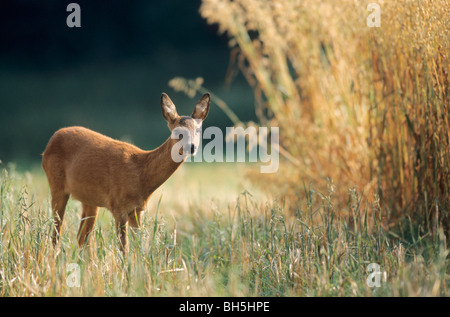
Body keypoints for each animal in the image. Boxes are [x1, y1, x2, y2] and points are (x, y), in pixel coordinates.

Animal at [42, 92, 211, 252]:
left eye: (197, 130)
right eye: (177, 131)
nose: (191, 147)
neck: (141, 174)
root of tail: (50, 141)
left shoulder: (137, 210)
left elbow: (139, 247)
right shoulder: (118, 206)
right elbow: (124, 249)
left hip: (89, 200)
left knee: (82, 238)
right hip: (56, 185)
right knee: (56, 234)